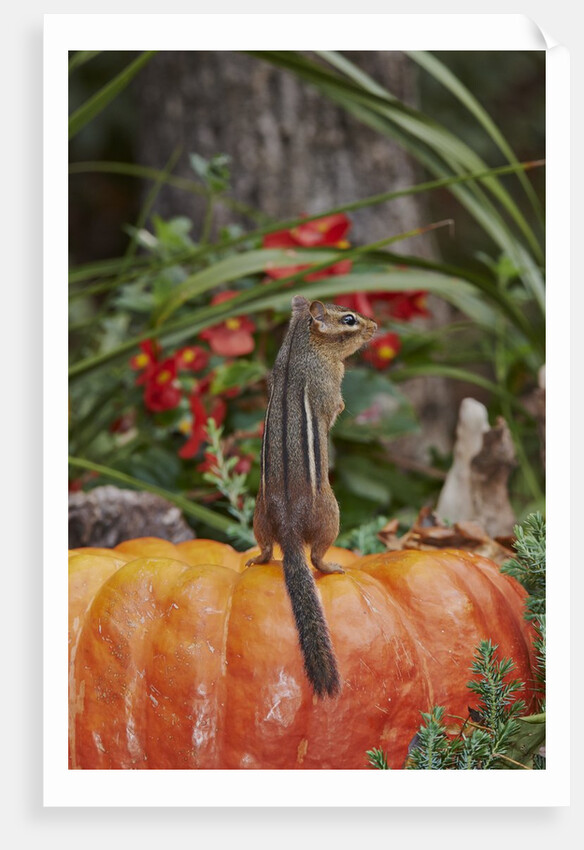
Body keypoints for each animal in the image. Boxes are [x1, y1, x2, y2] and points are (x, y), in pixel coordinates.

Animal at [246, 295, 377, 697]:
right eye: (349, 319)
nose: (375, 326)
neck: (298, 347)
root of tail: (288, 526)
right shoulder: (330, 383)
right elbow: (335, 406)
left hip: (258, 516)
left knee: (266, 547)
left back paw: (257, 559)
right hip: (332, 513)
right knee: (316, 555)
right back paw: (332, 566)